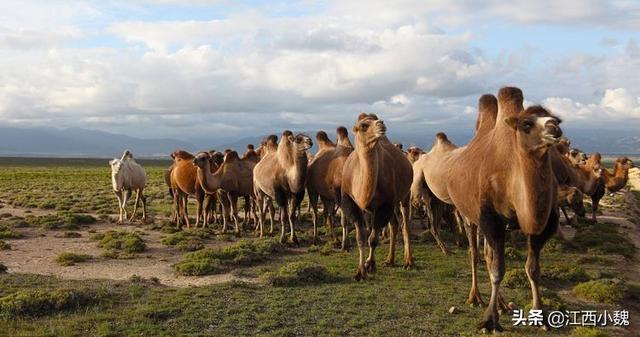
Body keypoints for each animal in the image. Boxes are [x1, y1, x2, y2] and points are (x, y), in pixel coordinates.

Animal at [340, 113, 416, 278]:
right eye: (363, 125)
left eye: (375, 120)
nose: (381, 124)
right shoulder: (351, 203)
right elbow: (361, 238)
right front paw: (360, 271)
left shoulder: (384, 204)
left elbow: (373, 239)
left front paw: (370, 265)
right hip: (391, 203)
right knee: (394, 225)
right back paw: (389, 260)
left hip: (404, 195)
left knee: (405, 225)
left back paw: (409, 262)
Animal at [418, 87, 564, 330]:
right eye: (526, 124)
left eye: (556, 118)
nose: (554, 127)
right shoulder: (490, 219)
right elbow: (498, 270)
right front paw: (488, 321)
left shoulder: (542, 226)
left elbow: (533, 269)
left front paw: (540, 316)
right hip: (468, 215)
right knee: (475, 254)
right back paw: (475, 297)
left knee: (487, 255)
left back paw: (502, 305)